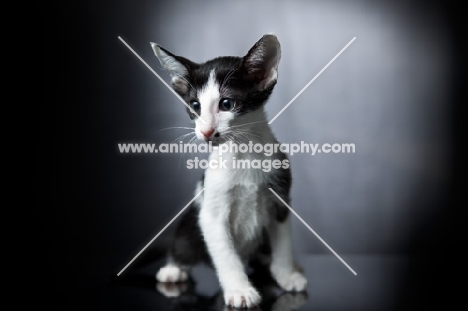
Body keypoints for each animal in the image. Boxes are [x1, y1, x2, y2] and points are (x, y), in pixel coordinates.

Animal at [150, 34, 308, 310]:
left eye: (226, 103)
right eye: (195, 106)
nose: (205, 132)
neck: (244, 153)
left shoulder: (281, 200)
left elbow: (283, 244)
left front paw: (286, 274)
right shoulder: (211, 214)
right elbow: (225, 253)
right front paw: (240, 289)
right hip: (191, 225)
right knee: (184, 246)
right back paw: (173, 268)